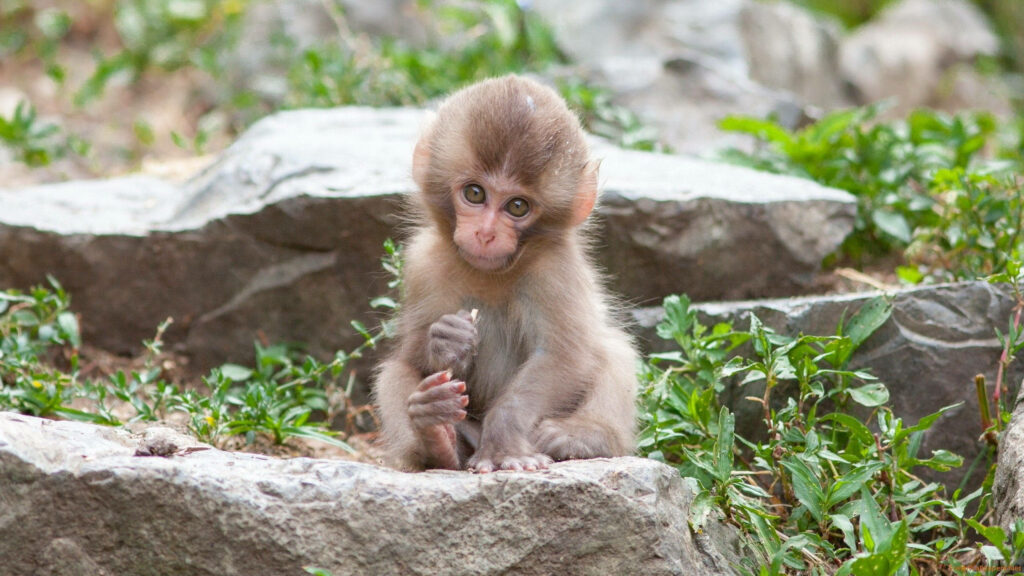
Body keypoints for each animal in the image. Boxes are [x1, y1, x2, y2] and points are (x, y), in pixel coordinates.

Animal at [373, 75, 638, 473]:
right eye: (474, 193)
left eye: (517, 207)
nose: (486, 234)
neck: (493, 274)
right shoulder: (423, 263)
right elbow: (412, 356)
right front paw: (446, 341)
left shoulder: (555, 271)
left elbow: (562, 355)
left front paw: (505, 446)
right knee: (394, 371)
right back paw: (436, 437)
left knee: (613, 349)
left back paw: (585, 436)